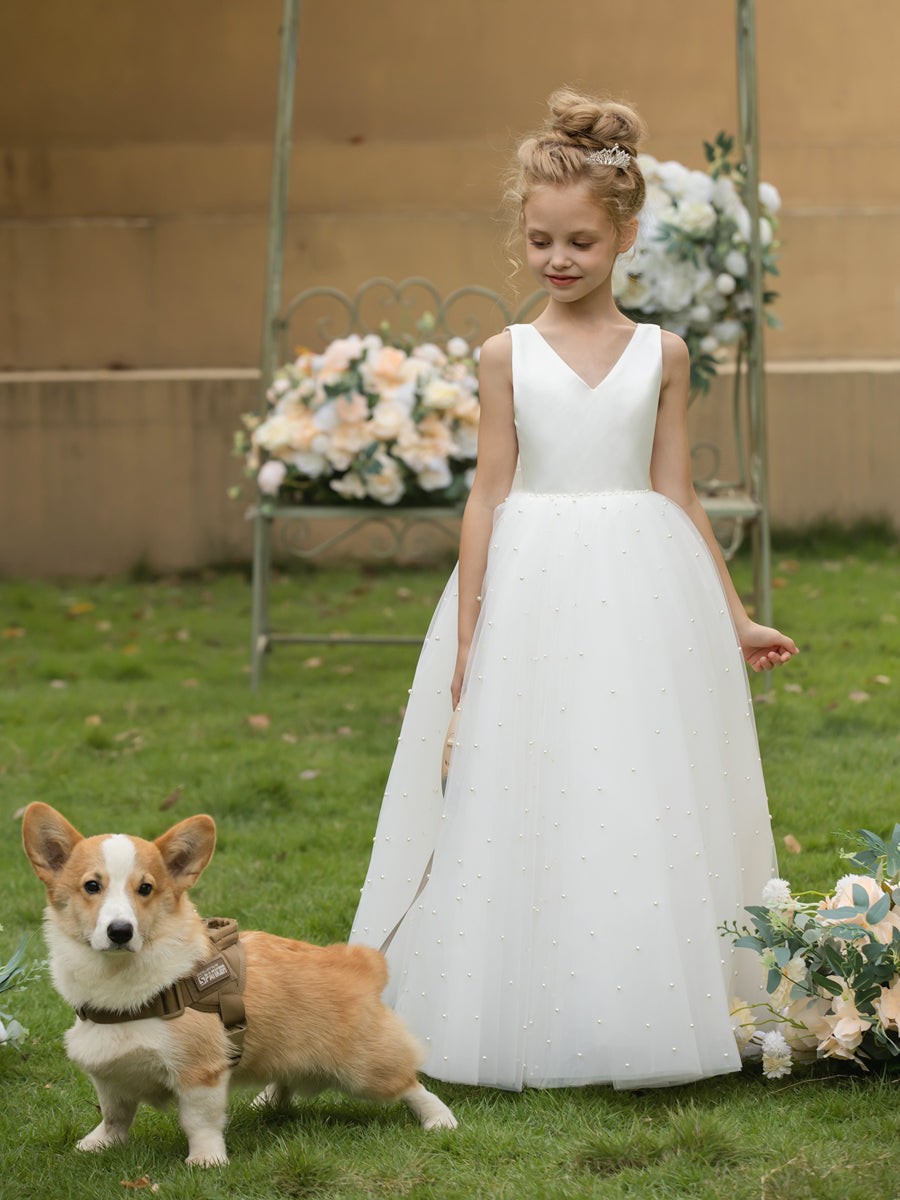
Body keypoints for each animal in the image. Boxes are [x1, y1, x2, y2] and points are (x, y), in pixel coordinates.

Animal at [21, 801, 458, 1166]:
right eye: (91, 886)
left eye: (145, 889)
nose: (120, 931)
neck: (122, 986)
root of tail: (360, 964)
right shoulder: (110, 1074)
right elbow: (115, 1116)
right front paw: (99, 1144)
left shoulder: (200, 1074)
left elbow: (198, 1122)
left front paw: (206, 1161)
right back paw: (267, 1102)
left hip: (366, 1069)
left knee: (410, 1083)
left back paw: (440, 1120)